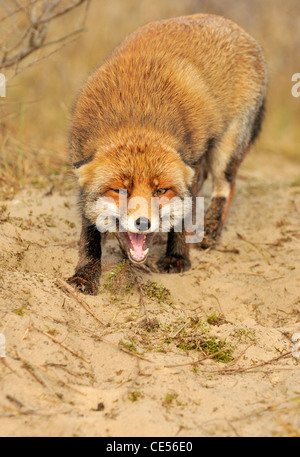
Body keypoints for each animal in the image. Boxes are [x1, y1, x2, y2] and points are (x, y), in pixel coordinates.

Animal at [68, 14, 268, 294]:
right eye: (120, 190)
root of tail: (228, 22)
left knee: (225, 187)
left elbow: (184, 219)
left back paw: (212, 230)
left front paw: (177, 257)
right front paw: (85, 274)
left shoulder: (191, 163)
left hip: (225, 148)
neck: (136, 118)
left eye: (160, 190)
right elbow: (90, 235)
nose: (143, 223)